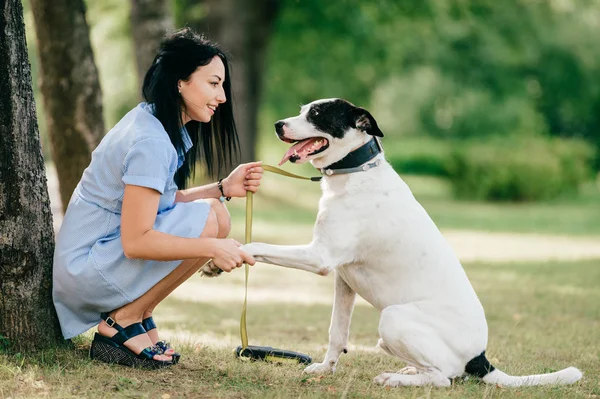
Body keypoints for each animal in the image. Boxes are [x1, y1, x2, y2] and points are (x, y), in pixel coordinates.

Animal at [204, 99, 584, 388]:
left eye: (317, 114)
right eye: (302, 110)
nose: (278, 124)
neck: (355, 173)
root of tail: (481, 359)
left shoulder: (319, 257)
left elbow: (257, 245)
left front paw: (222, 258)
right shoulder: (344, 281)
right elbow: (336, 333)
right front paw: (325, 369)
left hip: (392, 319)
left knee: (443, 378)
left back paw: (398, 378)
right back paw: (408, 369)